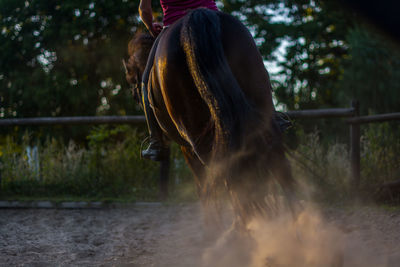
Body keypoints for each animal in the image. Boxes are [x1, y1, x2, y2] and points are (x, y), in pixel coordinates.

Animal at [126, 8, 298, 230]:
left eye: (132, 76)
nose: (134, 95)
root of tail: (196, 16)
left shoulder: (187, 148)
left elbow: (204, 188)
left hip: (198, 136)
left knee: (227, 177)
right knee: (276, 165)